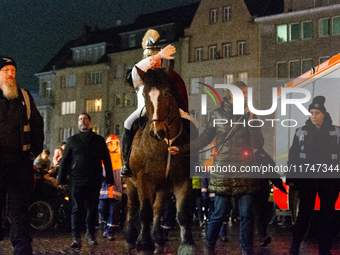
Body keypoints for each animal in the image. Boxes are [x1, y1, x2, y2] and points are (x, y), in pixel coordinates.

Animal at [123, 66, 195, 254]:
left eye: (167, 93)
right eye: (144, 94)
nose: (157, 131)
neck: (165, 143)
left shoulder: (182, 180)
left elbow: (182, 214)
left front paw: (187, 245)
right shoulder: (143, 179)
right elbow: (144, 213)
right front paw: (144, 244)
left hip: (163, 187)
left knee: (157, 209)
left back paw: (157, 239)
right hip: (131, 184)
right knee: (133, 207)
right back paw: (131, 237)